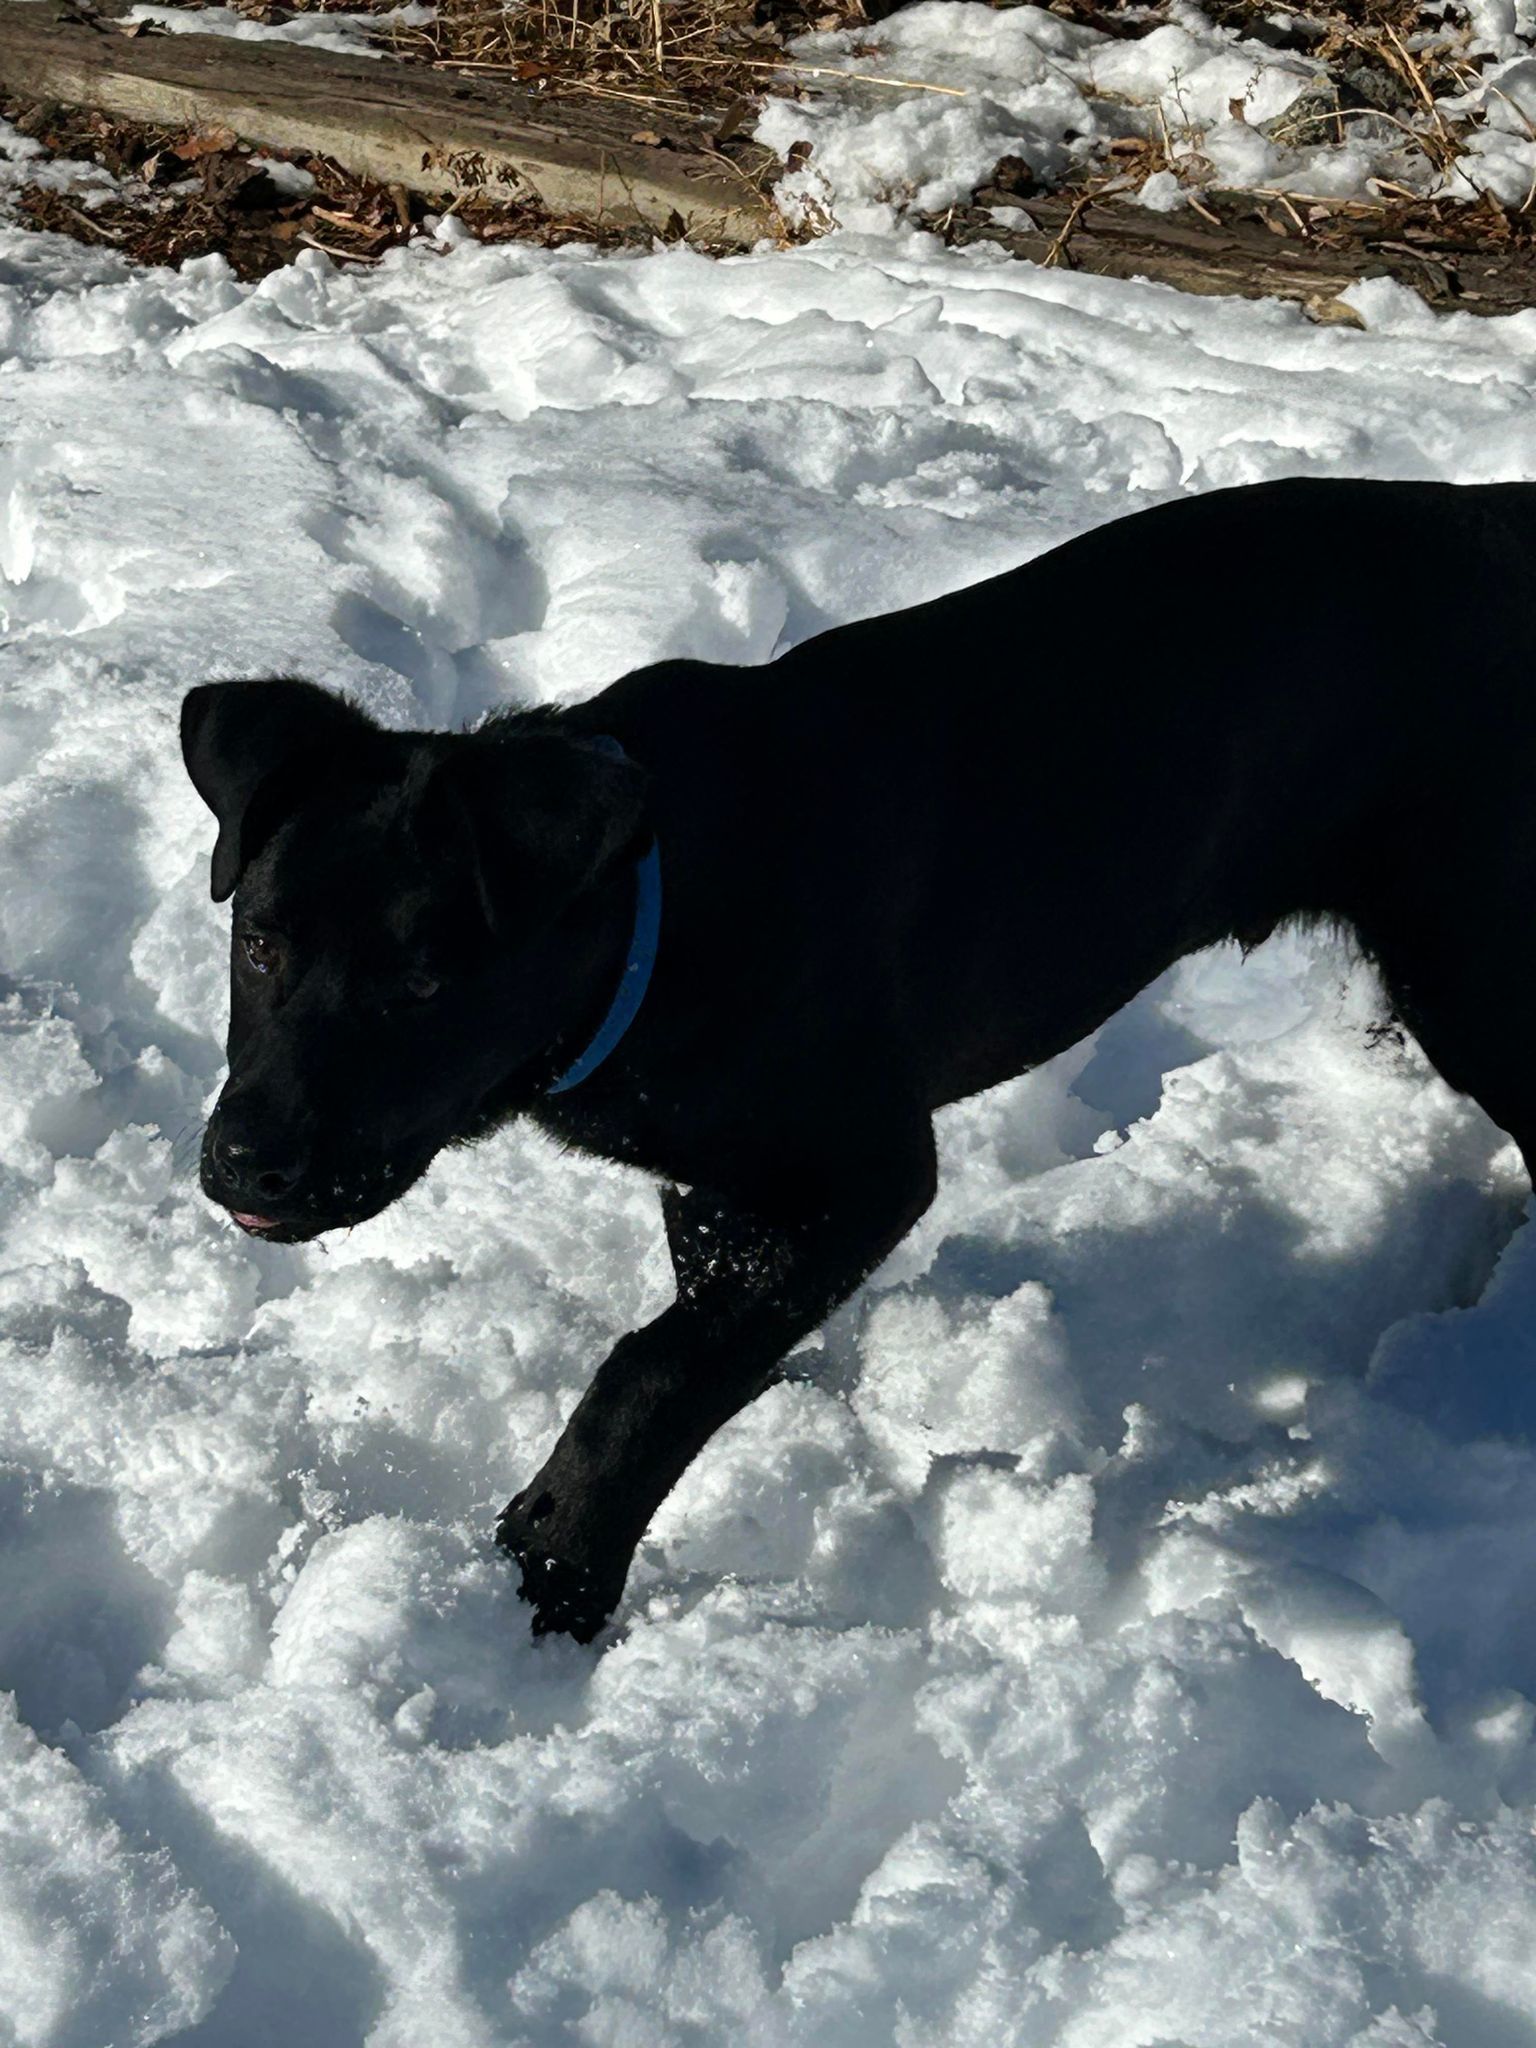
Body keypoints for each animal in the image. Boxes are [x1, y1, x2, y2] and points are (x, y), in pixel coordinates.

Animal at [183, 475, 1536, 1630]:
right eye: (258, 943)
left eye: (423, 985)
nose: (246, 1164)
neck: (661, 912)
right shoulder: (723, 1177)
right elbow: (706, 1312)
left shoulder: (869, 1166)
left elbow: (653, 1367)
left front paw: (557, 1562)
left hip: (1478, 970)